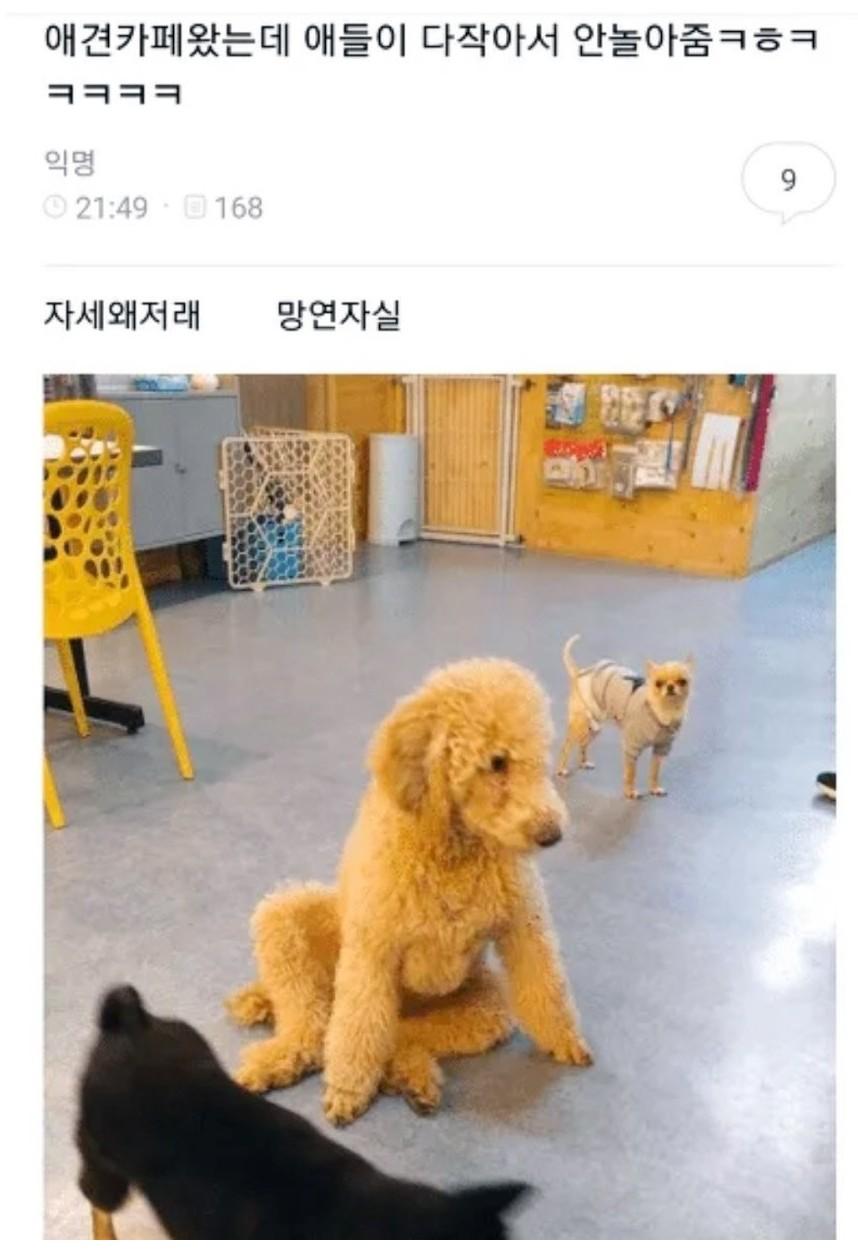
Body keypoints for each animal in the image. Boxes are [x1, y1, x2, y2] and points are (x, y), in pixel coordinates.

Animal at [227, 657, 592, 1127]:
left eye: (540, 757)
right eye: (496, 762)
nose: (552, 834)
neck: (452, 847)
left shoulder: (524, 925)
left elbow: (547, 987)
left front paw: (566, 1040)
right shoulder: (372, 948)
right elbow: (357, 1029)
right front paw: (348, 1089)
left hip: (485, 1009)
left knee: (397, 1035)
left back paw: (413, 1080)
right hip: (288, 924)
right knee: (318, 1024)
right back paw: (278, 1058)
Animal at [557, 635, 692, 799]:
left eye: (683, 681)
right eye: (658, 683)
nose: (671, 687)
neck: (664, 710)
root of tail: (580, 673)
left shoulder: (661, 749)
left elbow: (655, 772)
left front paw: (654, 789)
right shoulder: (631, 747)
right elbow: (630, 773)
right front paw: (630, 792)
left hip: (594, 727)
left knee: (583, 743)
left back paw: (584, 762)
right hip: (581, 724)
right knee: (566, 746)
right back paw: (562, 769)